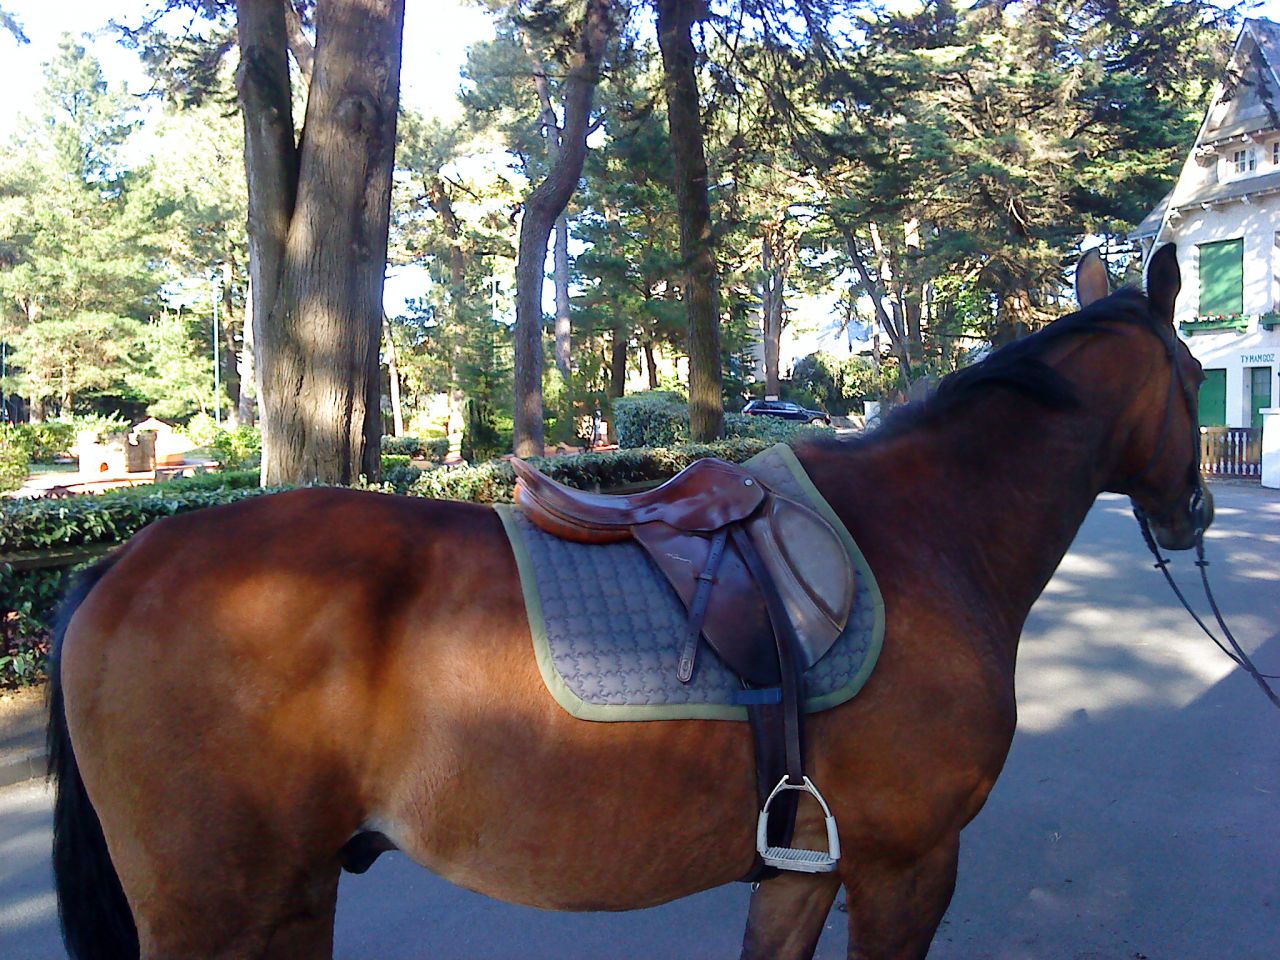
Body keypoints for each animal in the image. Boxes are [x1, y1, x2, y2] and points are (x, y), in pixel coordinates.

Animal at [47, 244, 1211, 960]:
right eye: (1197, 377)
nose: (1193, 511)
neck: (925, 532)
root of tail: (124, 560)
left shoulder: (804, 866)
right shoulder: (908, 867)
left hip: (290, 894)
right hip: (220, 909)